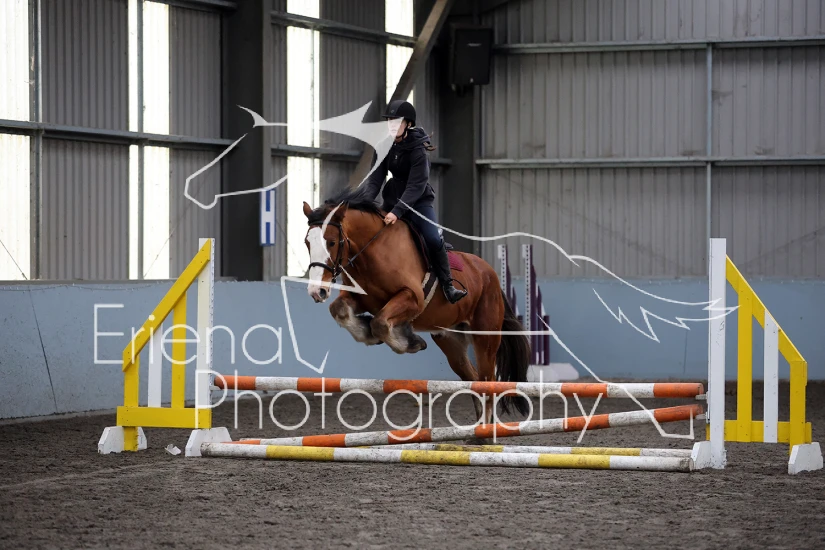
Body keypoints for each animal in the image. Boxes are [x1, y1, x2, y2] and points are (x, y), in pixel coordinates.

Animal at [302, 187, 531, 423]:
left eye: (331, 242)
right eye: (307, 243)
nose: (316, 291)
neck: (371, 251)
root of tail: (490, 273)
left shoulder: (412, 298)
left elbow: (380, 323)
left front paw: (410, 342)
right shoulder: (359, 299)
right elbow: (340, 310)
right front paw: (369, 333)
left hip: (485, 338)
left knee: (488, 382)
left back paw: (485, 428)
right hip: (451, 341)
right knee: (474, 379)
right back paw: (478, 429)